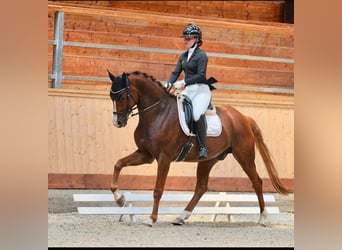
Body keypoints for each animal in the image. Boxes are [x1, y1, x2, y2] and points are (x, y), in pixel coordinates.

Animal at [108, 70, 290, 227]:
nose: (118, 123)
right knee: (201, 187)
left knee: (257, 182)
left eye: (122, 96)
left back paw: (263, 218)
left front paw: (151, 219)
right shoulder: (145, 155)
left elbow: (158, 190)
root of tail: (244, 117)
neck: (158, 112)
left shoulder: (164, 158)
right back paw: (181, 217)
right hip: (208, 160)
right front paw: (120, 199)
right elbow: (118, 164)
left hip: (244, 156)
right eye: (111, 96)